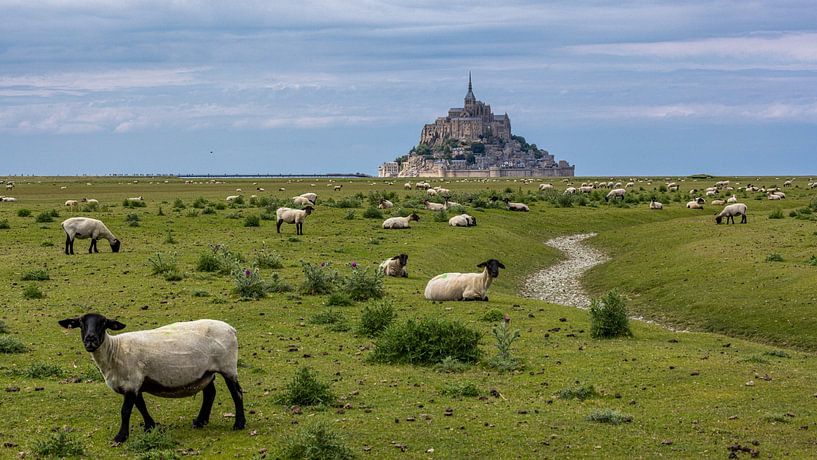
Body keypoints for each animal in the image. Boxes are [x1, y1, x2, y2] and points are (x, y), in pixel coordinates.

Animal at [58, 313, 245, 444]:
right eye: (81, 323)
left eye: (103, 323)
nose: (90, 339)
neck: (114, 350)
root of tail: (231, 329)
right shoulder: (135, 384)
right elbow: (141, 406)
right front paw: (150, 426)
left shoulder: (131, 382)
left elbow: (126, 411)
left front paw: (121, 436)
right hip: (205, 372)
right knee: (210, 394)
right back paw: (200, 421)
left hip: (228, 367)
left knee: (237, 394)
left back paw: (239, 424)